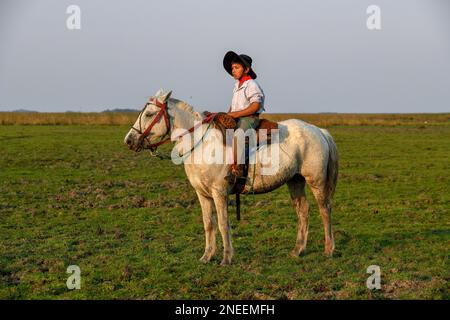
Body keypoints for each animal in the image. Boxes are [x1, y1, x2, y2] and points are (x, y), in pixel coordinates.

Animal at [123, 88, 338, 264]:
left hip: (316, 181)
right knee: (303, 211)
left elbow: (222, 224)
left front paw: (226, 258)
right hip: (295, 181)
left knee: (325, 209)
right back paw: (298, 250)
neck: (201, 143)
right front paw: (207, 256)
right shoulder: (202, 194)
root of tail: (319, 131)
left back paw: (329, 250)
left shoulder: (219, 192)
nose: (129, 140)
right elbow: (208, 224)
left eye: (149, 114)